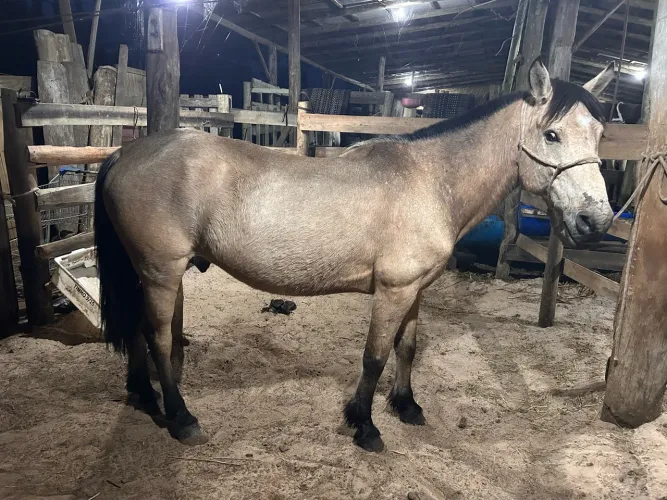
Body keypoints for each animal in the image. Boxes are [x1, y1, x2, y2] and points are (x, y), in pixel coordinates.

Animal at [94, 59, 615, 452]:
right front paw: (364, 425)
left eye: (600, 135)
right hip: (162, 273)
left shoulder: (415, 289)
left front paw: (407, 406)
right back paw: (181, 417)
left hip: (149, 274)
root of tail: (125, 153)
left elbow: (406, 348)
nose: (596, 220)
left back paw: (143, 396)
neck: (432, 180)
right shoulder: (393, 290)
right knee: (159, 337)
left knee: (139, 332)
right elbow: (374, 356)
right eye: (552, 135)